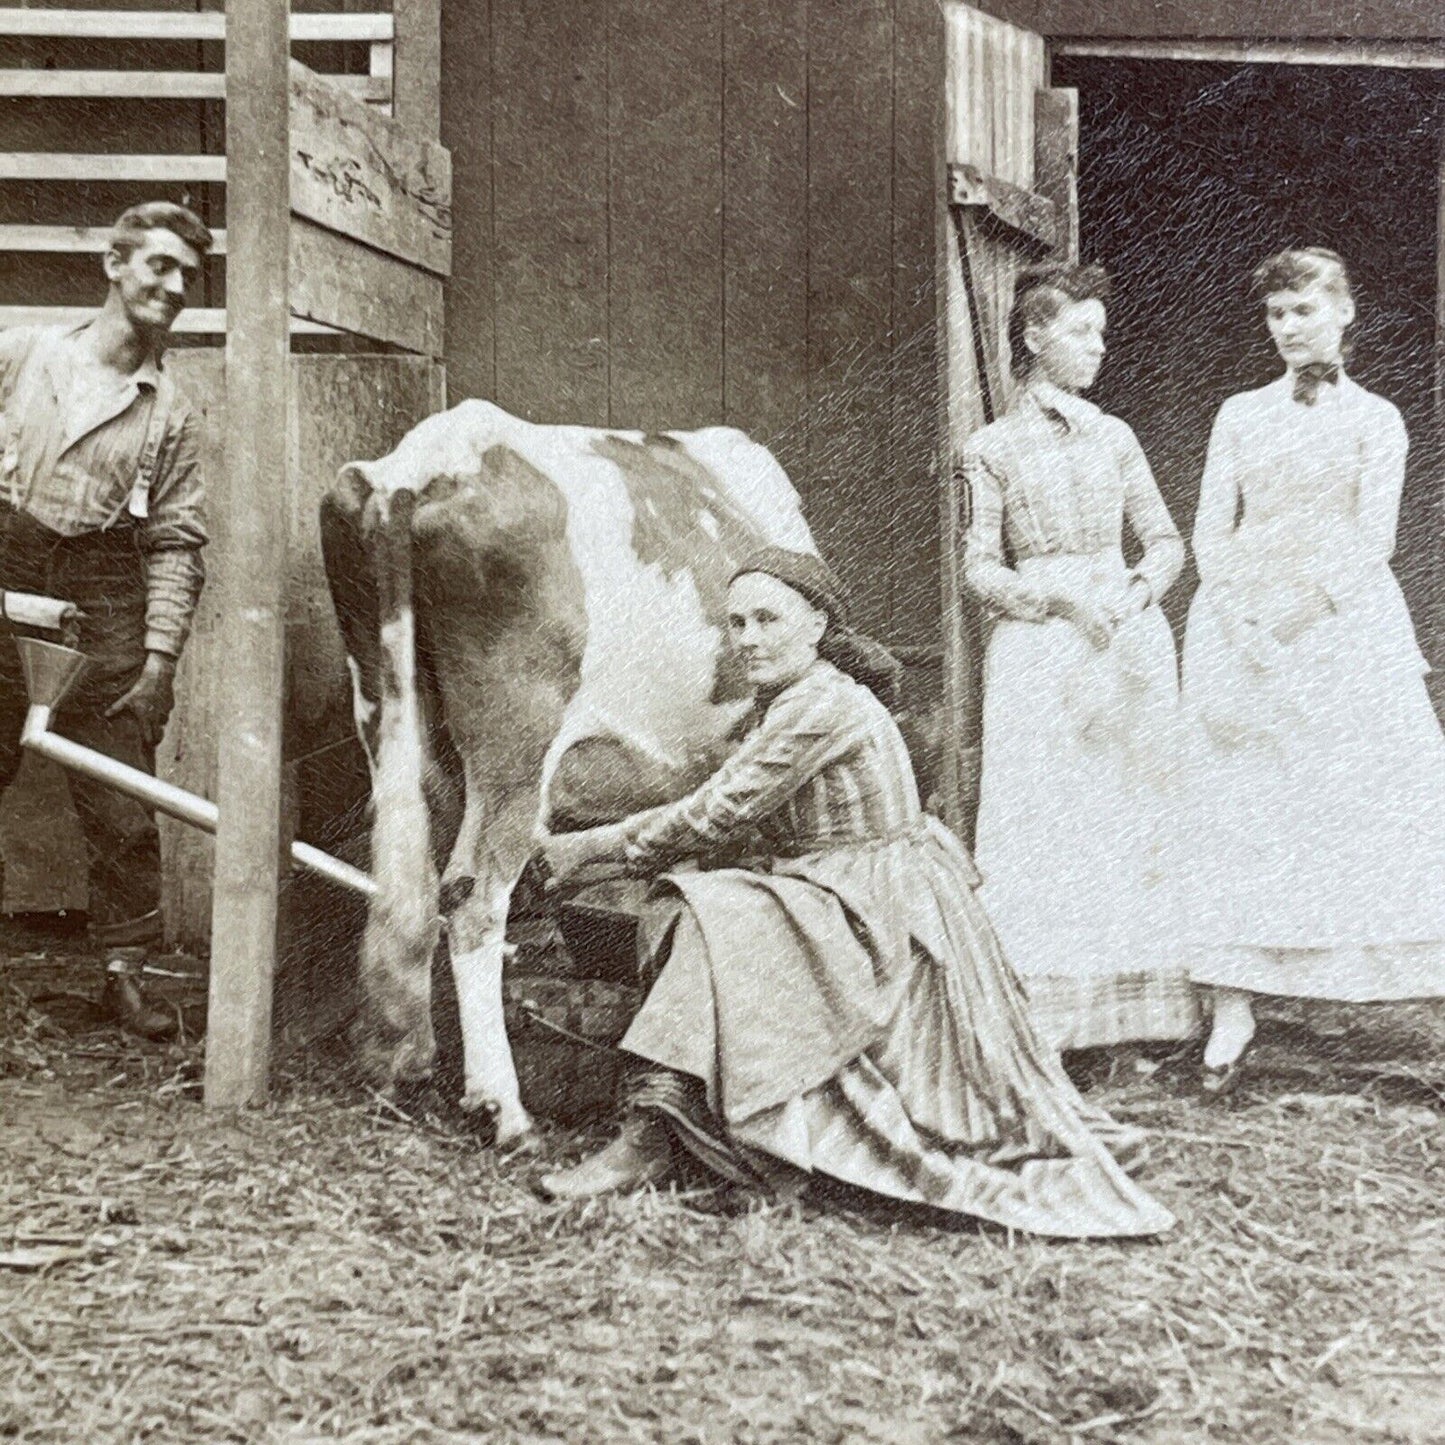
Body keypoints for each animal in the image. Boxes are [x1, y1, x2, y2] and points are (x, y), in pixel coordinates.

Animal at [322, 401, 820, 1144]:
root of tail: (418, 466)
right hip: (516, 743)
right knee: (473, 896)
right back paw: (503, 1105)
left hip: (392, 721)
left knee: (413, 884)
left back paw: (408, 1061)